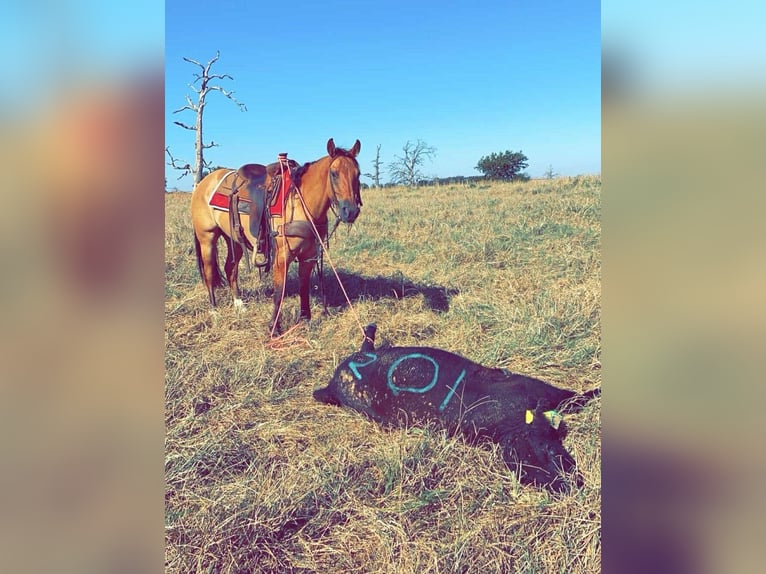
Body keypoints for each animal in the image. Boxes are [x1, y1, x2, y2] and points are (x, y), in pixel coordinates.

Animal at [190, 140, 362, 336]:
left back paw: (239, 305)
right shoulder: (281, 257)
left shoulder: (309, 256)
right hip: (207, 239)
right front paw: (274, 328)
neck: (300, 202)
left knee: (230, 268)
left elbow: (304, 286)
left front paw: (305, 319)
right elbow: (279, 292)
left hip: (234, 240)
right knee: (209, 273)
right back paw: (214, 311)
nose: (351, 211)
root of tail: (203, 184)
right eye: (334, 174)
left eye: (358, 174)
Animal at [316, 326, 604, 492]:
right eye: (524, 474)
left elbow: (578, 397)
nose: (566, 488)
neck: (515, 420)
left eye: (553, 453)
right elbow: (576, 398)